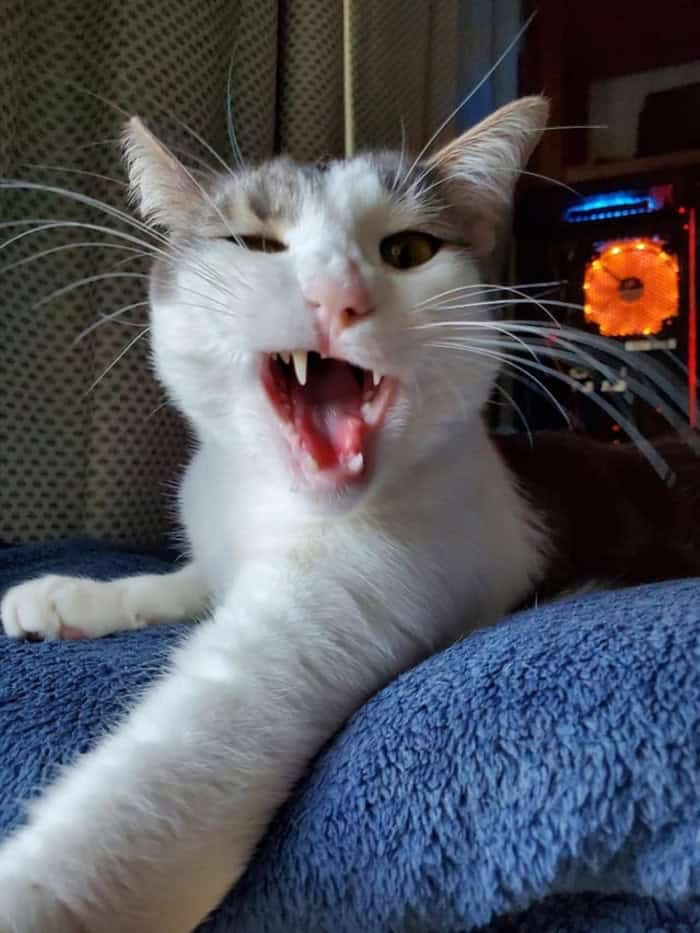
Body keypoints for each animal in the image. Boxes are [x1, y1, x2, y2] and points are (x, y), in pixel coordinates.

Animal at [0, 97, 551, 931]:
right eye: (256, 243)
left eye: (409, 249)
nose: (336, 295)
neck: (266, 500)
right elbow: (177, 582)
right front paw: (73, 596)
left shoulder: (357, 594)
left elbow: (172, 768)